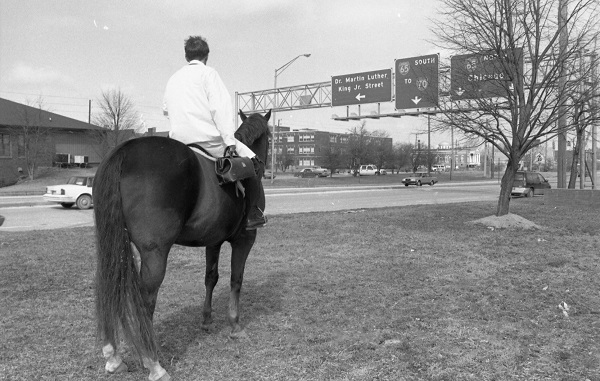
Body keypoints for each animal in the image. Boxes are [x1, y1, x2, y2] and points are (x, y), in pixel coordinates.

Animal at [93, 108, 270, 378]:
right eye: (270, 137)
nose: (264, 165)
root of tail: (123, 152)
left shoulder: (213, 241)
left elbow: (211, 277)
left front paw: (206, 319)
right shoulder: (244, 240)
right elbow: (236, 280)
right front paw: (235, 324)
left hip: (115, 246)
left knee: (110, 287)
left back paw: (113, 355)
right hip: (155, 254)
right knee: (145, 300)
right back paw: (152, 362)